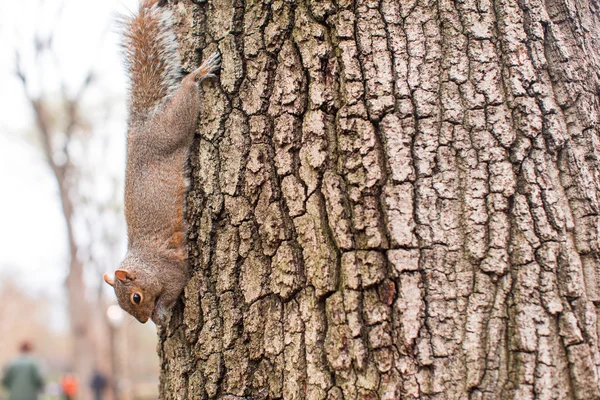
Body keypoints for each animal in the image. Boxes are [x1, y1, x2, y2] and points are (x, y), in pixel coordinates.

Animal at [103, 0, 220, 324]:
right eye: (123, 308)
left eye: (136, 297)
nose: (143, 321)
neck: (147, 265)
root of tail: (142, 124)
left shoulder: (171, 270)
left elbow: (175, 287)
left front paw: (162, 314)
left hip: (173, 126)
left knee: (186, 95)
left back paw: (199, 73)